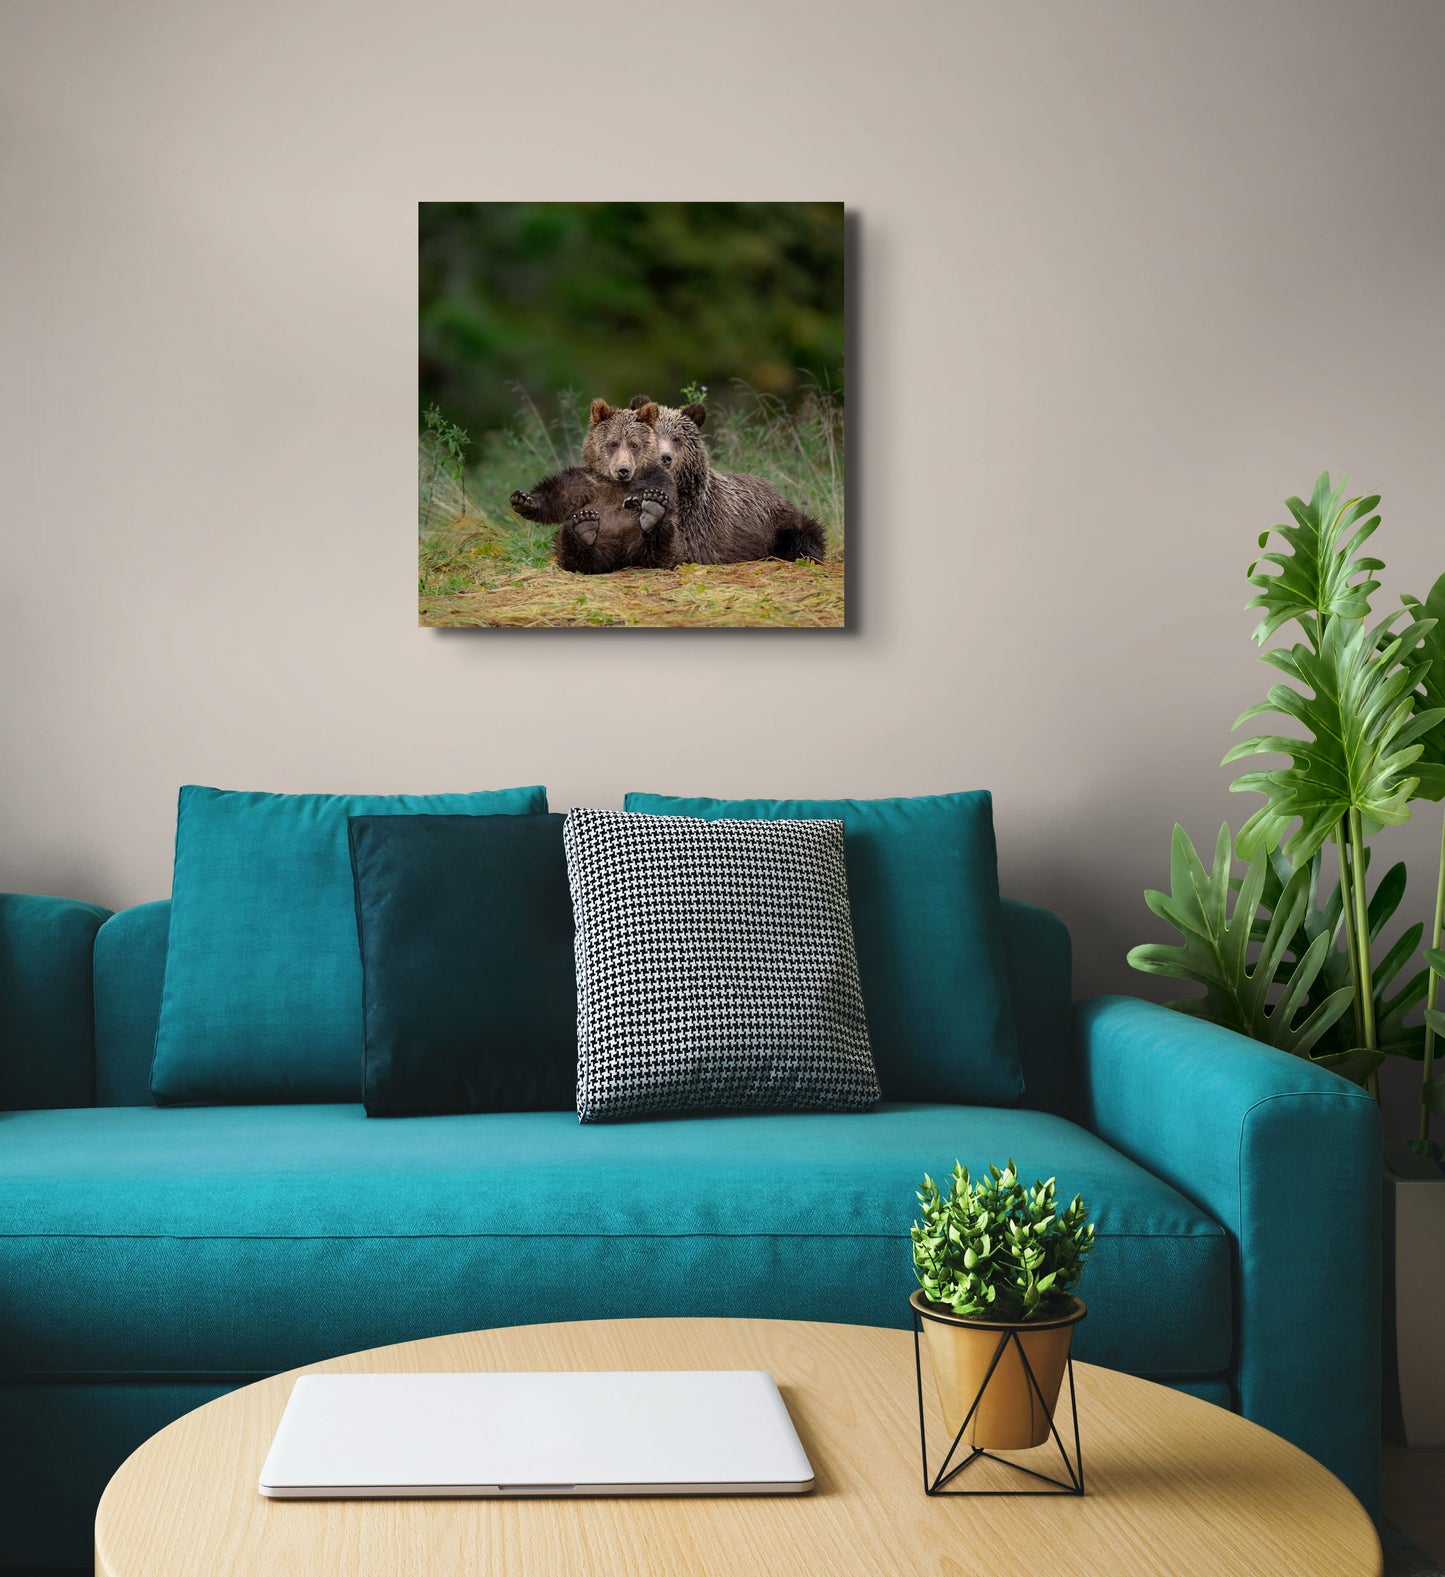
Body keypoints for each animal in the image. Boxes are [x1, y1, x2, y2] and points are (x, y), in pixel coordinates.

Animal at [514, 400, 678, 574]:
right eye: (613, 444)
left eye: (634, 445)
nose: (623, 470)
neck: (615, 483)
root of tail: (619, 561)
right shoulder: (588, 482)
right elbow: (559, 494)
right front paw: (524, 500)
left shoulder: (654, 473)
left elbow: (660, 486)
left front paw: (640, 498)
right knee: (571, 542)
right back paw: (585, 529)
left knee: (660, 541)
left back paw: (652, 514)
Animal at [627, 397, 826, 564]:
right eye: (654, 435)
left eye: (676, 439)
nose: (665, 457)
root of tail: (771, 488)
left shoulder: (698, 526)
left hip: (779, 521)